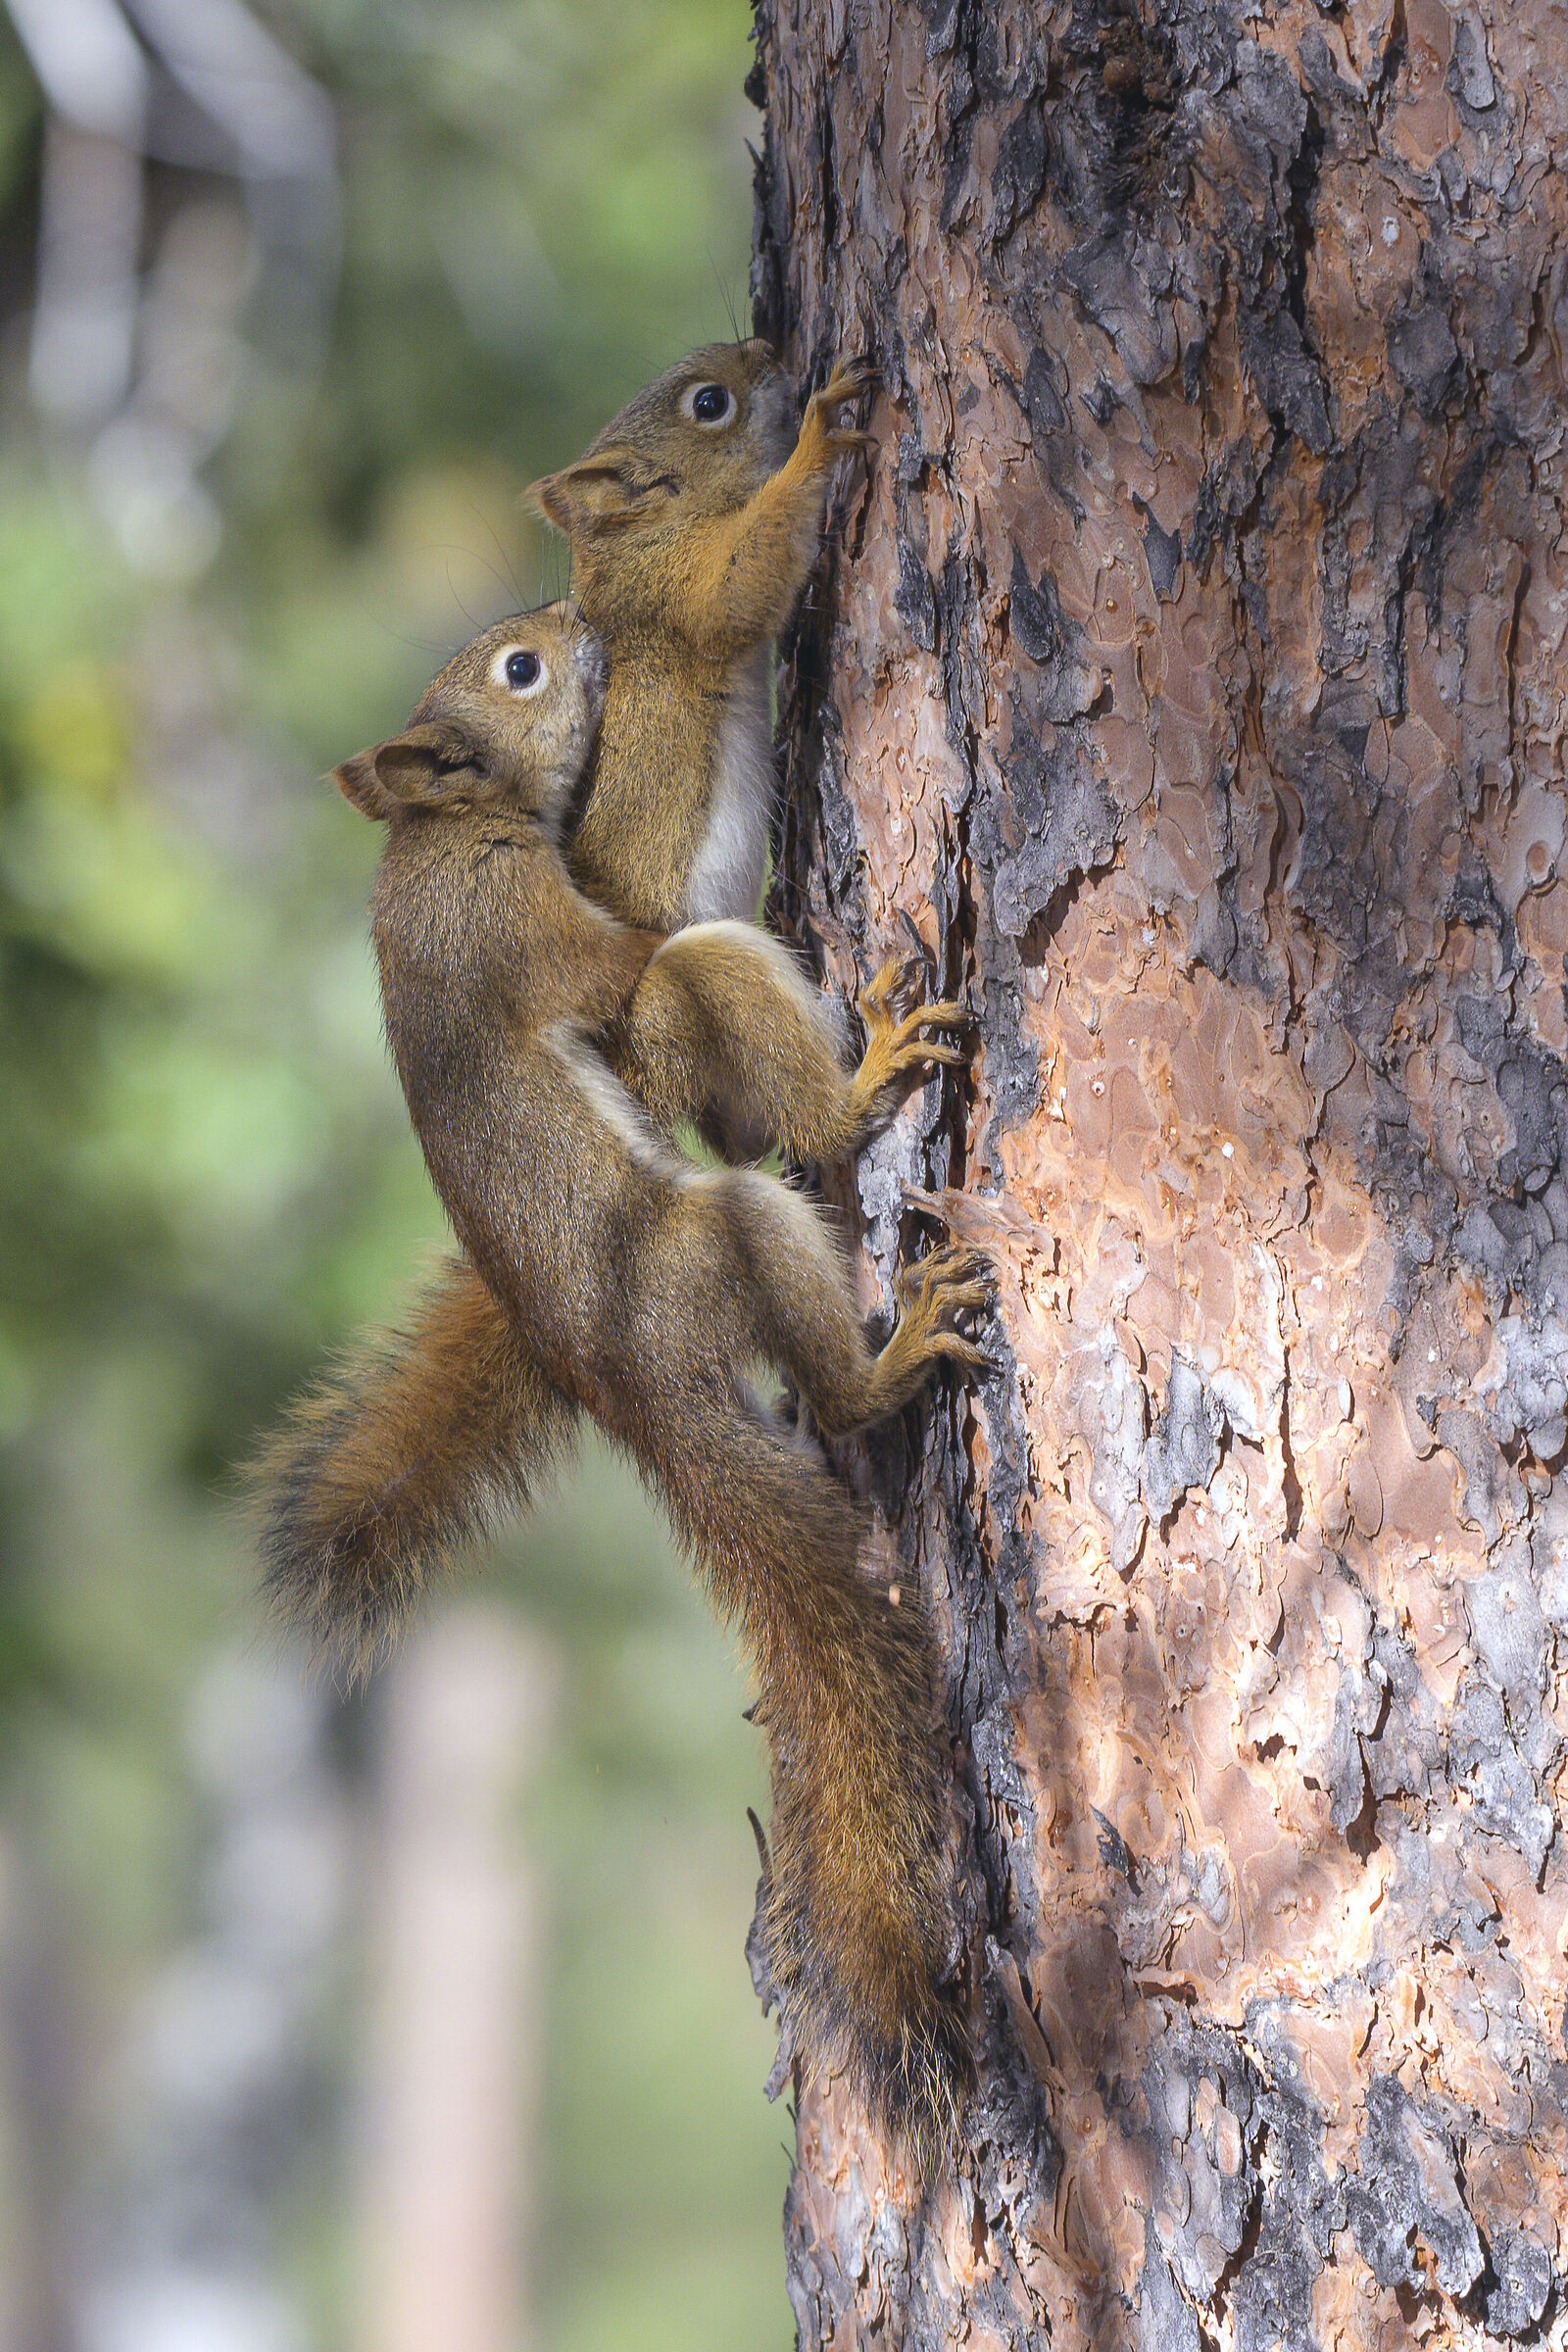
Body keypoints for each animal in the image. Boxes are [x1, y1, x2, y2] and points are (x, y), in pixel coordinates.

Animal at [263, 604, 987, 2161]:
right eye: (520, 671)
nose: (577, 621)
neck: (439, 834)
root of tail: (628, 1388)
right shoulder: (530, 928)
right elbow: (634, 956)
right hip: (730, 1235)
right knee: (759, 1117)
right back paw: (881, 1236)